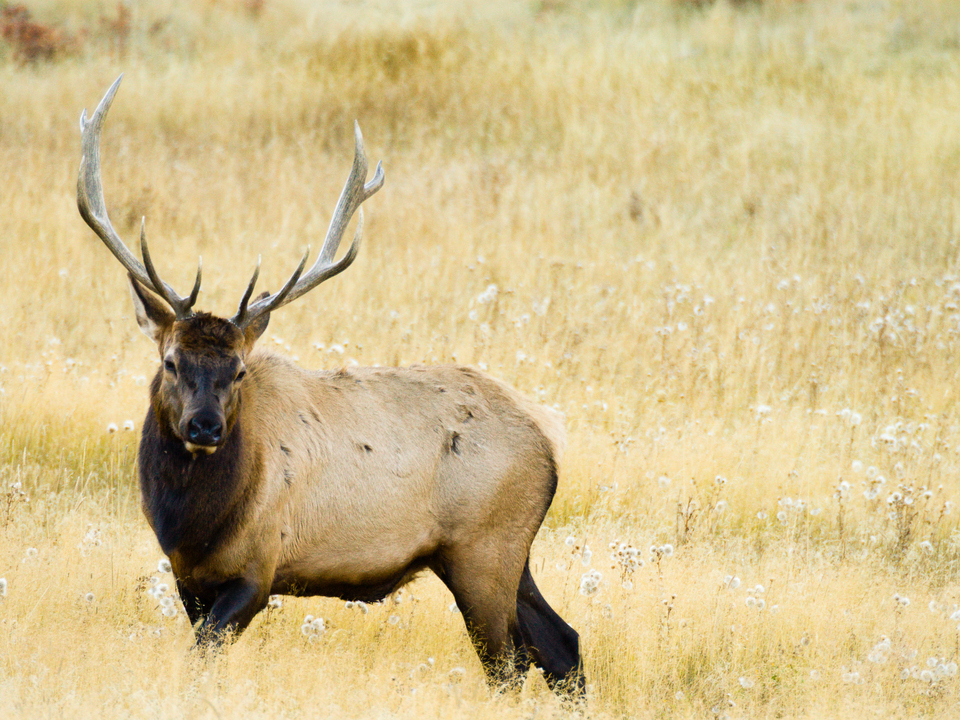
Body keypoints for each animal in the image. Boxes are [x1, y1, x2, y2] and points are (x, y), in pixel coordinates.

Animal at [77, 76, 584, 696]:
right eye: (171, 362)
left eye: (239, 370)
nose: (205, 427)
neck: (190, 524)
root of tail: (549, 436)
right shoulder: (187, 579)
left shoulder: (257, 570)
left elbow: (204, 656)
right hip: (508, 550)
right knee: (563, 645)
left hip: (484, 548)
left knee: (509, 666)